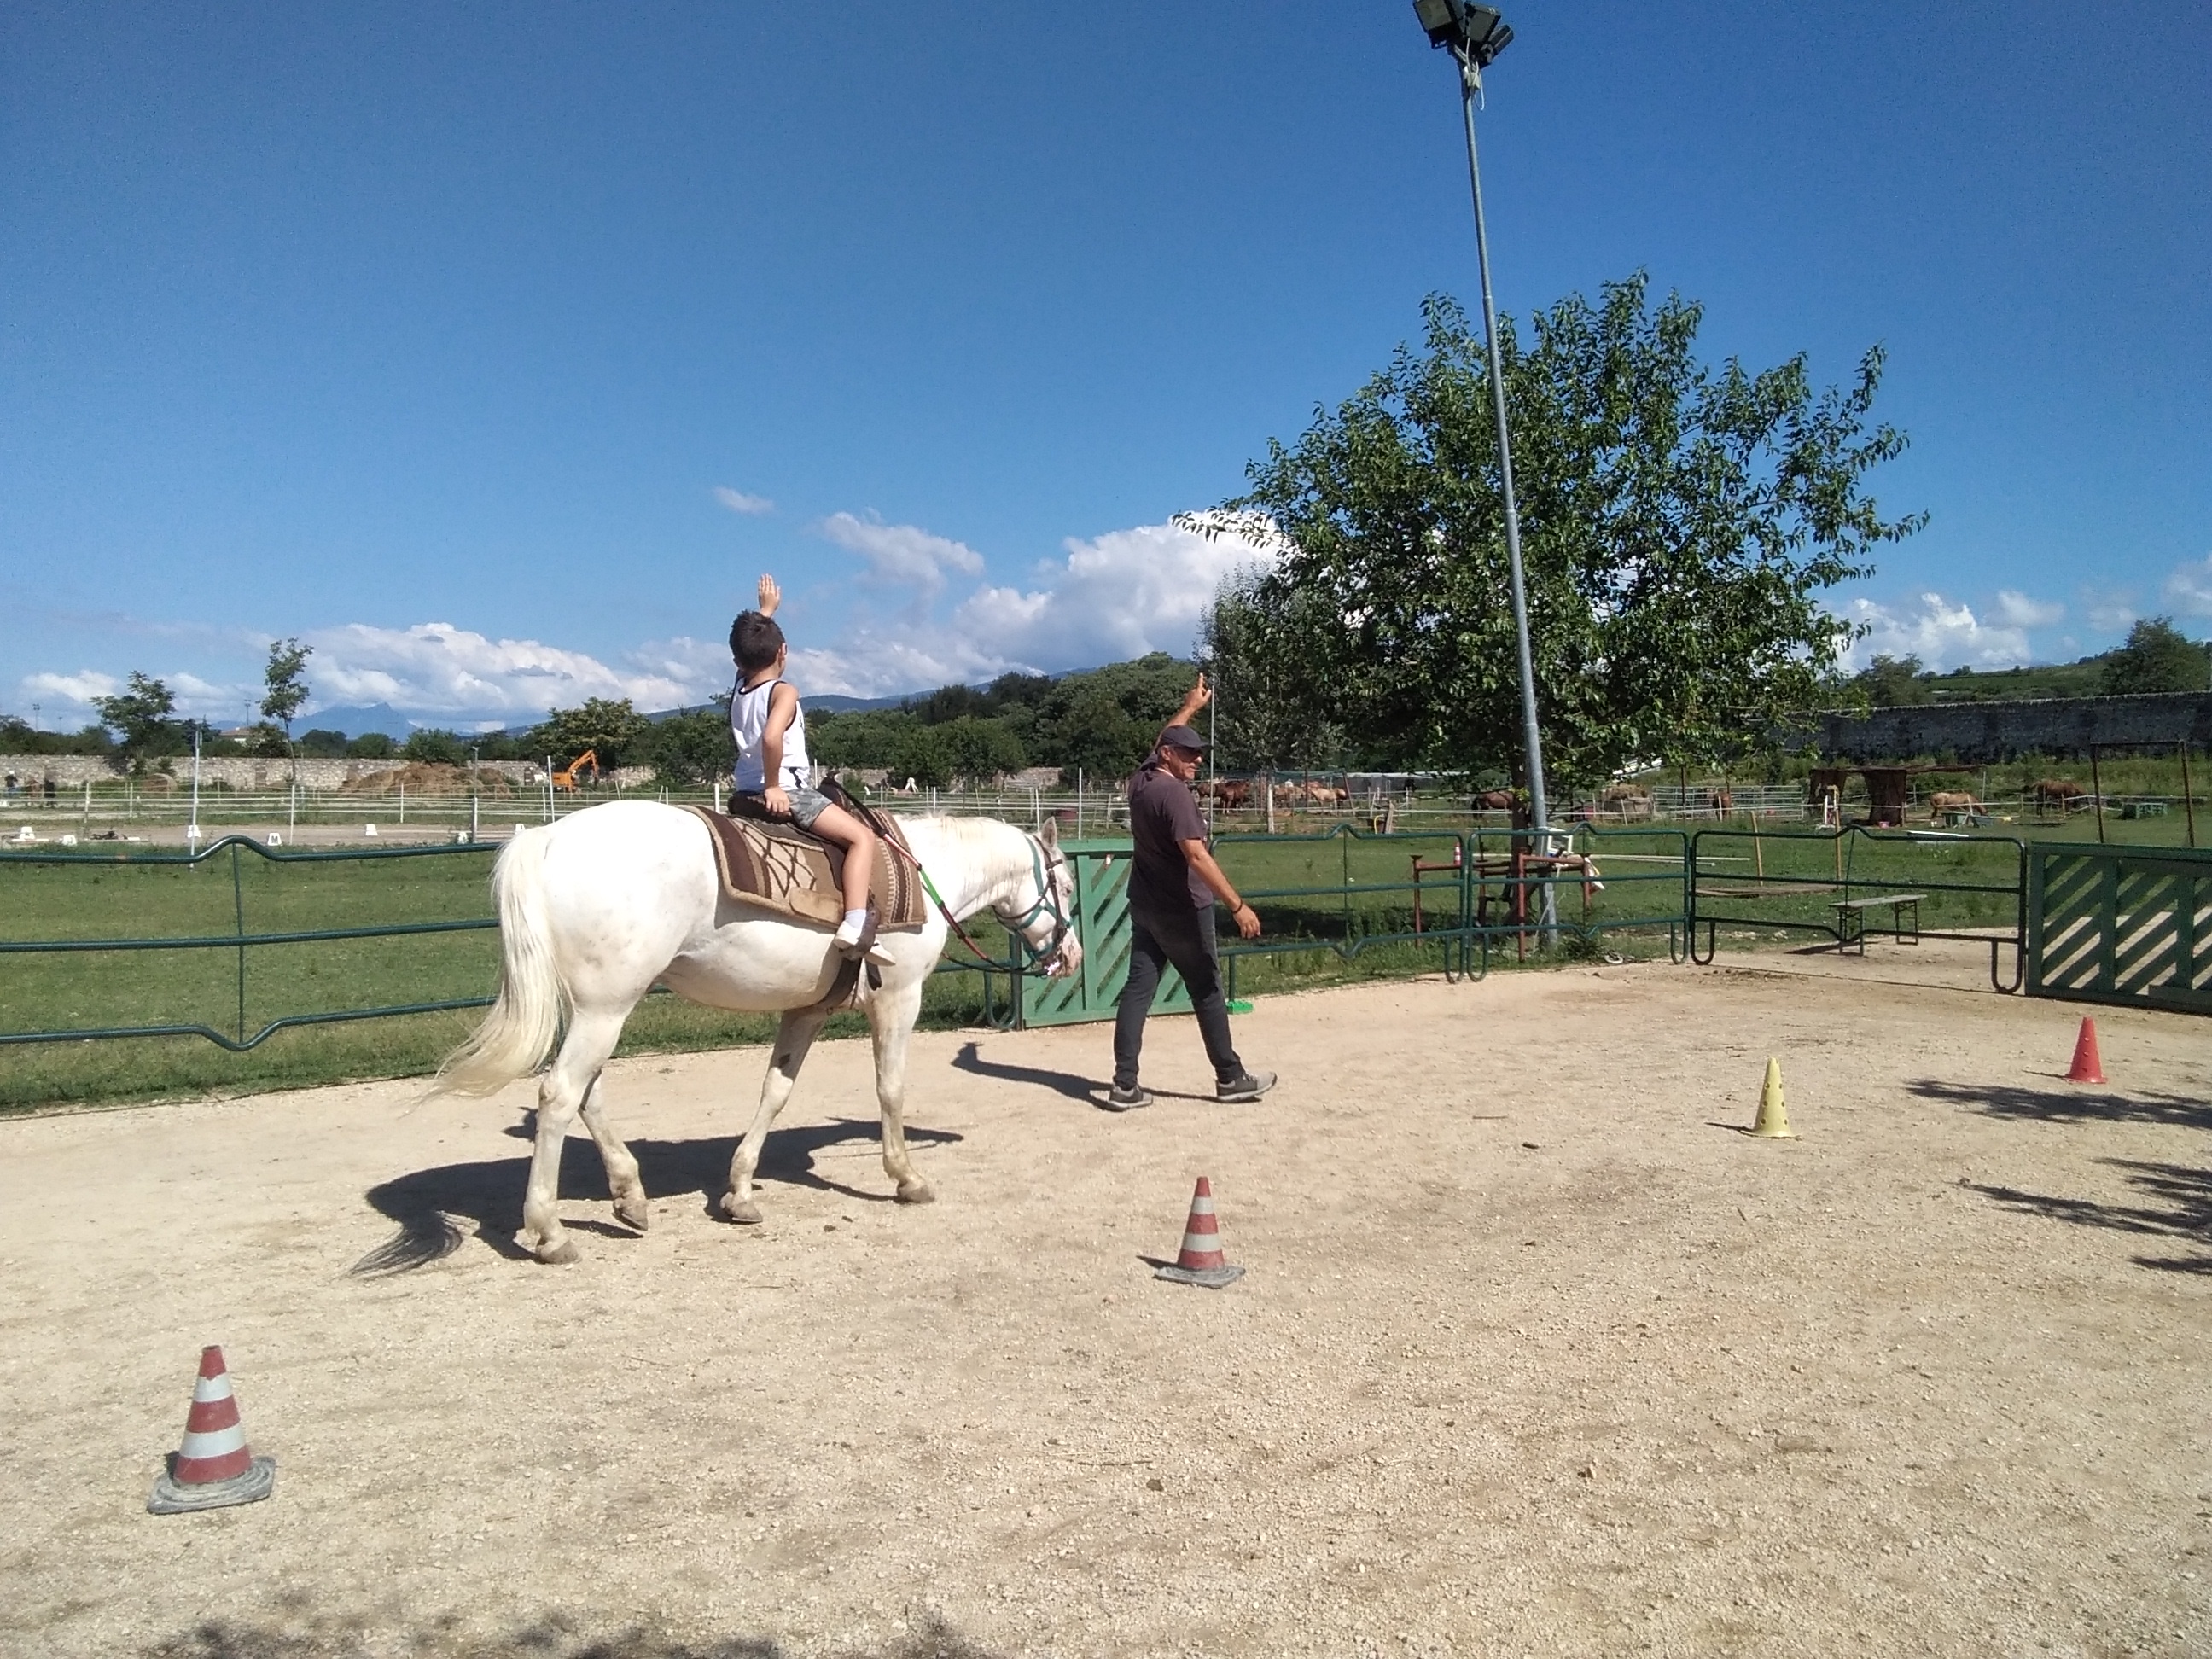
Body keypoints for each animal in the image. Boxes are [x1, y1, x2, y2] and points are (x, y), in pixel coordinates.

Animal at [433, 802, 1081, 1263]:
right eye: (1068, 887)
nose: (1070, 955)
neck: (928, 873)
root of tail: (546, 838)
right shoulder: (899, 999)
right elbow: (890, 1090)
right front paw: (906, 1177)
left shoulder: (808, 1010)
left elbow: (776, 1091)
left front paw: (740, 1191)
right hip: (605, 1009)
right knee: (560, 1096)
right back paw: (548, 1231)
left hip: (594, 1011)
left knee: (587, 1096)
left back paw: (630, 1197)